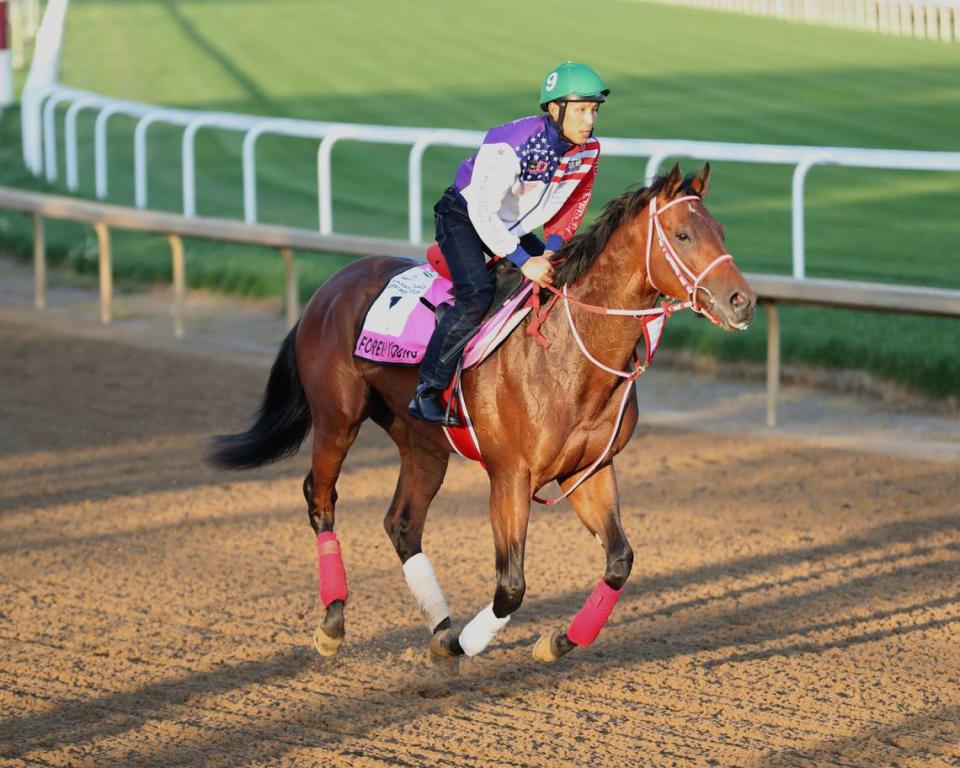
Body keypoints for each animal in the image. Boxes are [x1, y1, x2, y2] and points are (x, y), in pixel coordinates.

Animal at [210, 162, 756, 664]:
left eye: (722, 232)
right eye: (683, 234)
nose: (743, 301)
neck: (567, 353)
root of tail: (330, 287)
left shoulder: (589, 470)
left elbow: (620, 560)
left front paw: (556, 641)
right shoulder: (510, 476)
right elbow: (511, 586)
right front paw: (466, 644)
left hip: (423, 442)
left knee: (402, 523)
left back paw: (439, 623)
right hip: (336, 420)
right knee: (320, 499)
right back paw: (334, 624)